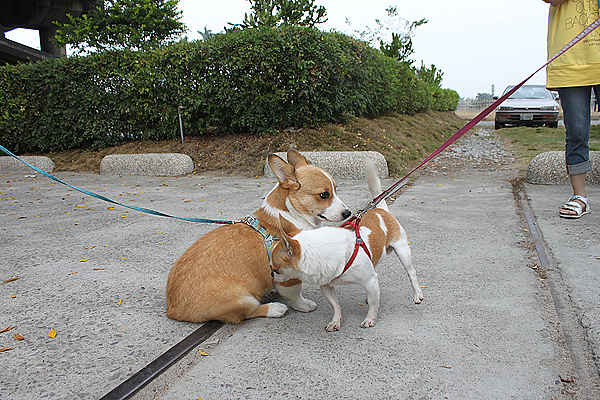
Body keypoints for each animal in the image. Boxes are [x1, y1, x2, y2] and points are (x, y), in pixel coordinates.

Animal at [164, 148, 352, 324]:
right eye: (324, 195)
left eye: (336, 189)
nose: (348, 213)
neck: (292, 212)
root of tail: (173, 310)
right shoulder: (289, 272)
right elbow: (295, 293)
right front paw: (303, 305)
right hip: (242, 299)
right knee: (246, 313)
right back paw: (274, 308)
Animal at [270, 162, 424, 332]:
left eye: (275, 269)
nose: (271, 275)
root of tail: (381, 209)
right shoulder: (327, 286)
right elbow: (336, 305)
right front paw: (336, 321)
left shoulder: (370, 280)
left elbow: (373, 304)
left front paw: (370, 319)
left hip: (403, 250)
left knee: (411, 273)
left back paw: (417, 294)